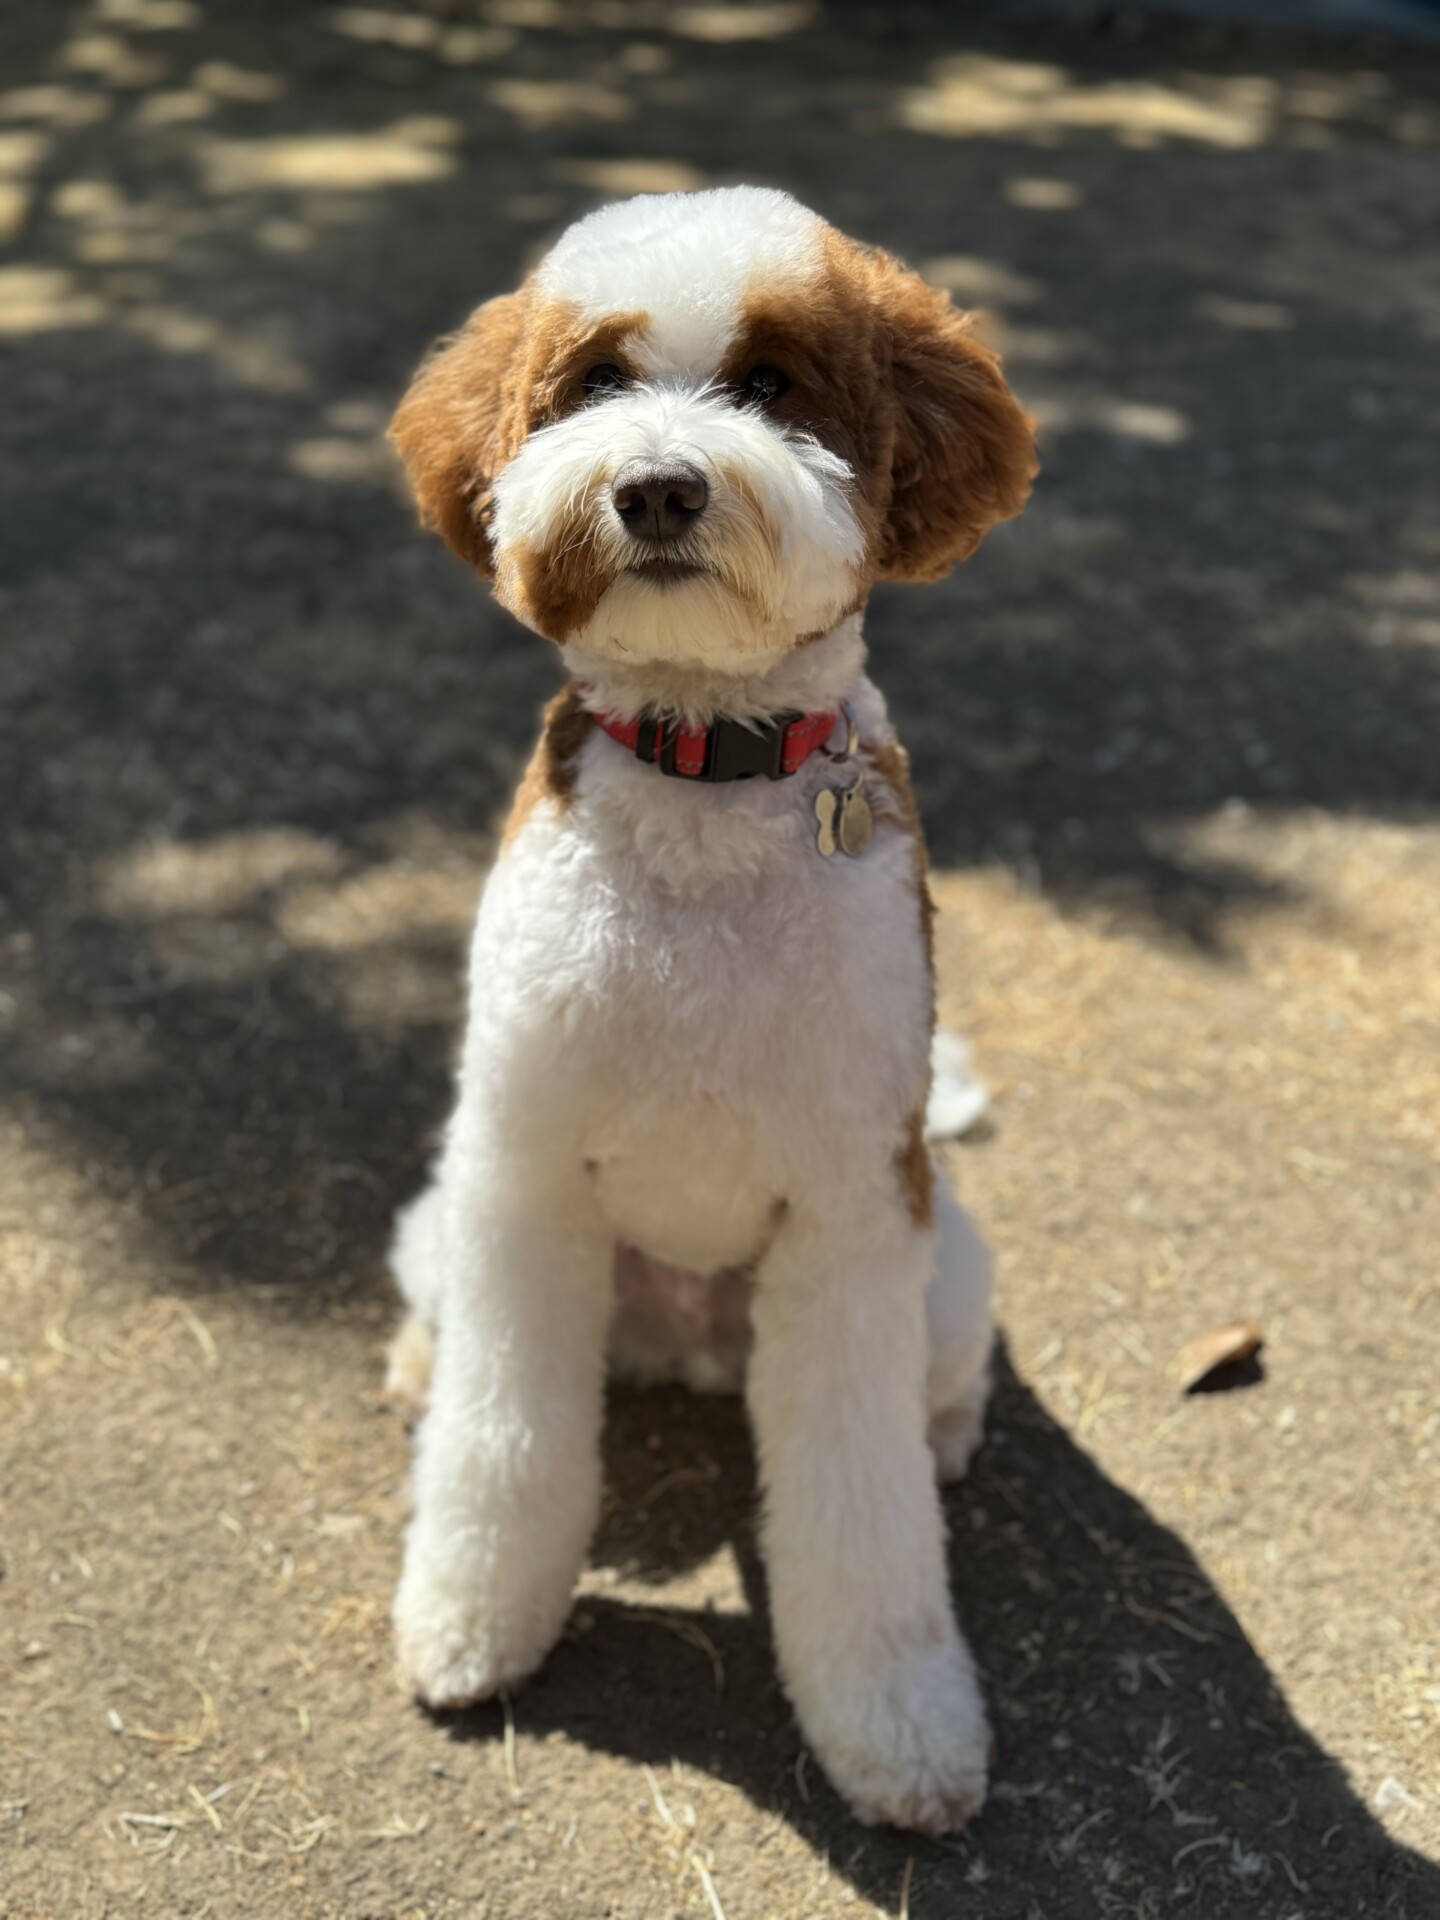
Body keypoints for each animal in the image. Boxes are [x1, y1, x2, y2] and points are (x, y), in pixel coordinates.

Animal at [384, 187, 1036, 1835]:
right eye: (597, 383)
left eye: (772, 386)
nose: (660, 488)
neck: (703, 766)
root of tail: (683, 1341)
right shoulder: (520, 1170)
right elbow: (503, 1440)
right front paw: (471, 1621)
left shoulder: (856, 1216)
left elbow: (859, 1513)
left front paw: (899, 1728)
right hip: (447, 1212)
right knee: (444, 1322)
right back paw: (418, 1365)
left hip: (948, 1262)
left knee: (937, 1388)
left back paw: (946, 1434)